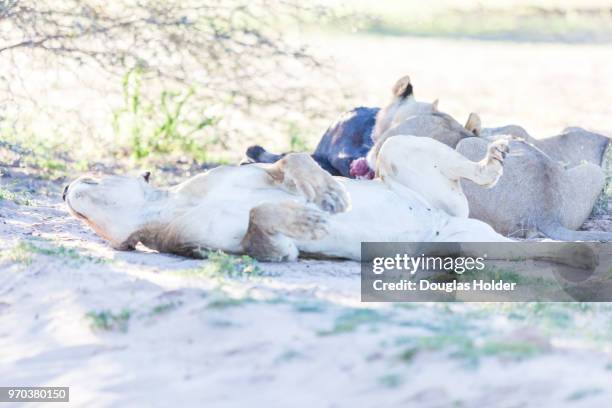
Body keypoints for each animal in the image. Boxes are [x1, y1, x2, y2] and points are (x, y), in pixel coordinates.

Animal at [63, 135, 512, 260]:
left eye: (92, 177)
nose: (64, 188)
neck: (170, 203)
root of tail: (446, 222)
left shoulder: (258, 170)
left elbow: (292, 159)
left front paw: (328, 193)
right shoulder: (244, 250)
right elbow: (260, 219)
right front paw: (307, 220)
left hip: (396, 146)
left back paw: (493, 158)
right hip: (463, 247)